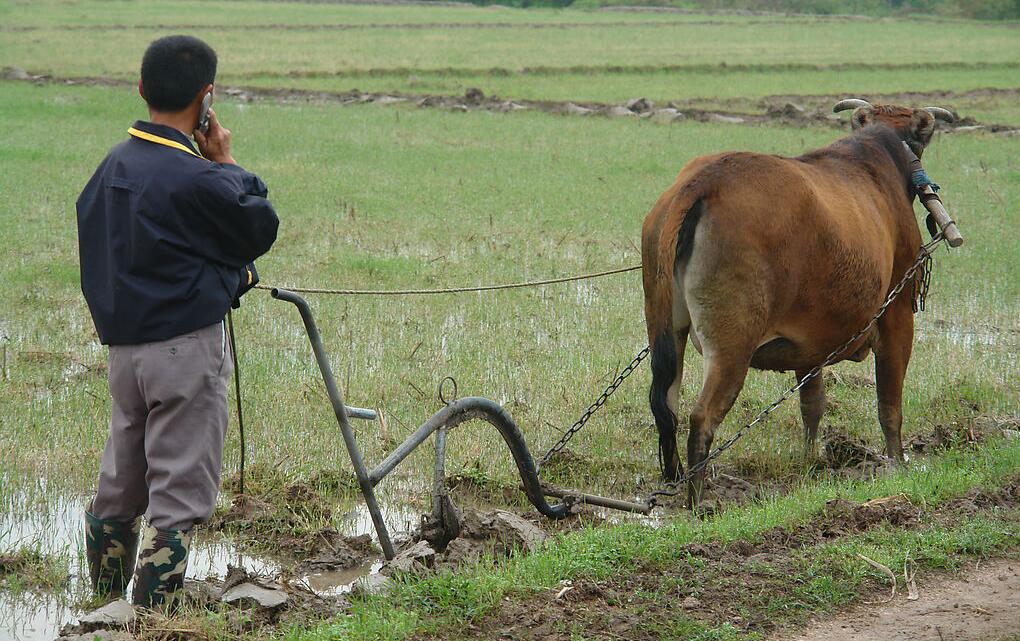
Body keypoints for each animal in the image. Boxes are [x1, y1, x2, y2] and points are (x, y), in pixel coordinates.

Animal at [644, 100, 954, 506]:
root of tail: (705, 180)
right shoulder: (897, 315)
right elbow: (889, 404)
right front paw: (897, 466)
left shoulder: (810, 345)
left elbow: (812, 404)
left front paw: (809, 461)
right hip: (732, 347)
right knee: (701, 418)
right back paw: (697, 502)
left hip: (666, 330)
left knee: (666, 407)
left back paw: (674, 479)